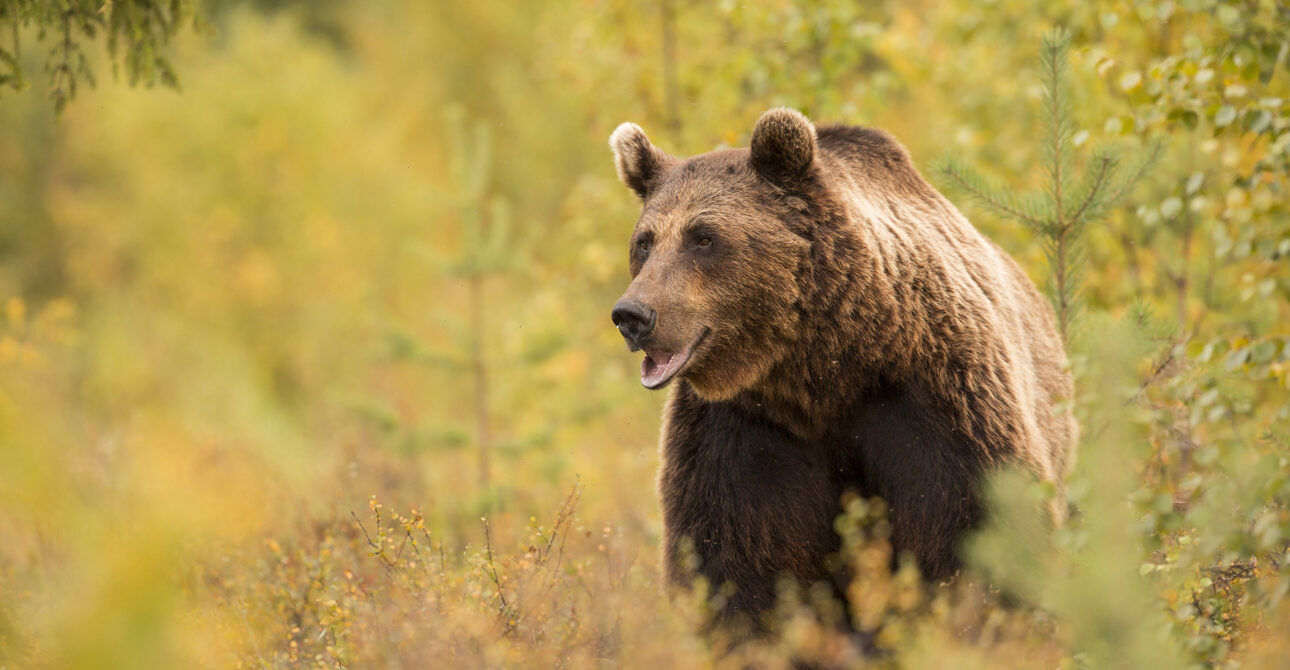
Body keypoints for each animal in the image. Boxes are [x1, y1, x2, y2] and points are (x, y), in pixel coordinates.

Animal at [607, 108, 1075, 635]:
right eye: (644, 243)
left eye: (703, 237)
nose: (633, 315)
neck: (828, 372)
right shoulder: (746, 431)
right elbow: (740, 559)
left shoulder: (939, 399)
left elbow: (977, 529)